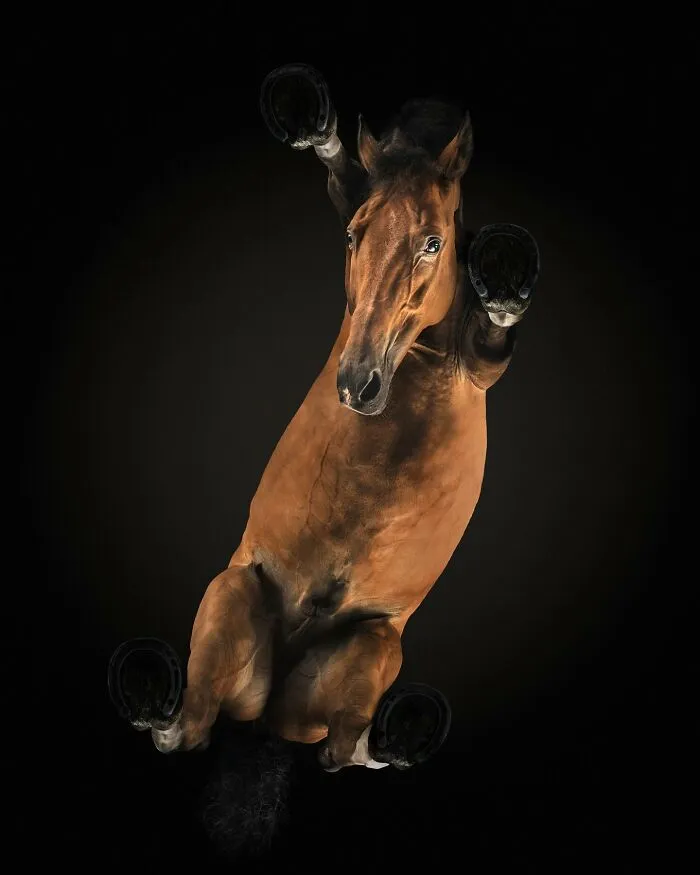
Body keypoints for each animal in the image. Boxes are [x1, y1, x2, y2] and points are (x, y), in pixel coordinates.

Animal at [108, 64, 540, 775]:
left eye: (432, 241)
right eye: (352, 234)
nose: (357, 383)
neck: (418, 361)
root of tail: (271, 708)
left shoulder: (481, 365)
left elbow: (496, 331)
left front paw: (504, 278)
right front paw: (308, 118)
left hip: (375, 645)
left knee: (343, 748)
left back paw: (401, 735)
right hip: (232, 591)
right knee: (189, 727)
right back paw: (152, 695)